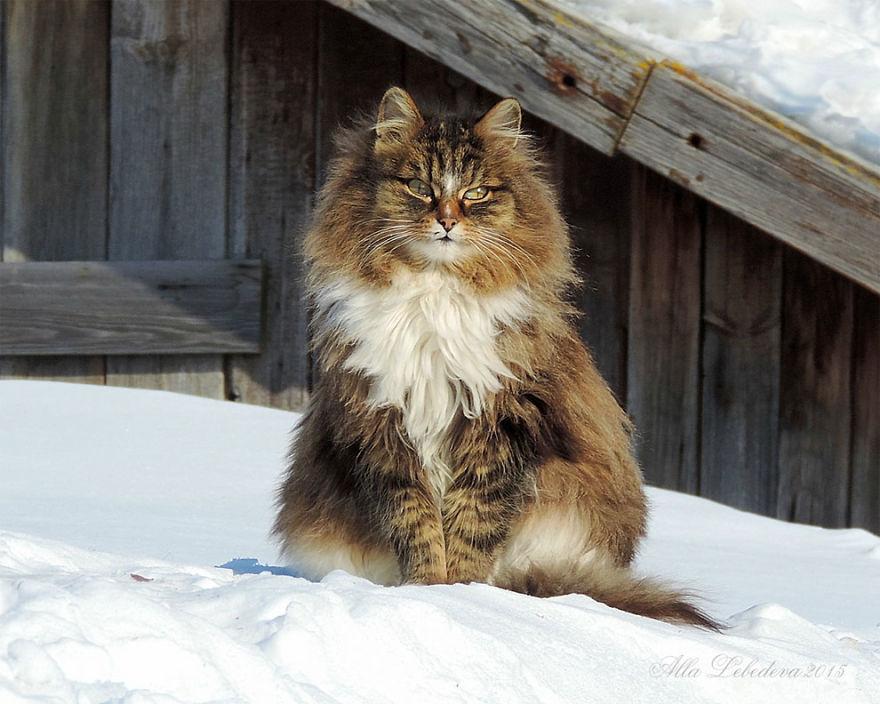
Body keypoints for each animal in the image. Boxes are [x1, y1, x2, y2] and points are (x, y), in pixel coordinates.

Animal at [276, 85, 720, 628]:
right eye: (419, 187)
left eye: (477, 193)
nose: (447, 220)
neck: (435, 293)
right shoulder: (380, 422)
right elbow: (416, 524)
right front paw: (426, 590)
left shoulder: (504, 420)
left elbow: (473, 523)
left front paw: (462, 594)